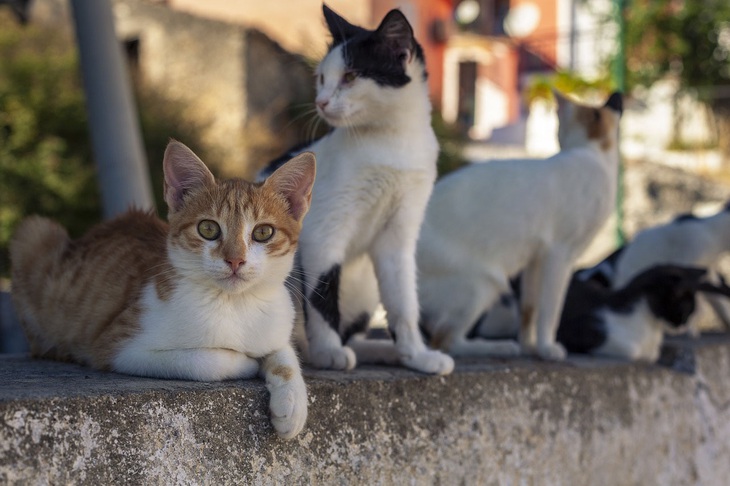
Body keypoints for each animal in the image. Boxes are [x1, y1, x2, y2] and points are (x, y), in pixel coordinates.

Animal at [10, 140, 312, 440]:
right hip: (32, 233)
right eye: (208, 228)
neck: (235, 304)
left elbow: (284, 352)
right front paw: (248, 362)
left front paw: (293, 404)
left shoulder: (276, 324)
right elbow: (205, 361)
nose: (235, 260)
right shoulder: (120, 348)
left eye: (263, 233)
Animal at [258, 4, 452, 376]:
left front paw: (416, 354)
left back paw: (385, 351)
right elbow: (321, 291)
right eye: (322, 77)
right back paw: (313, 351)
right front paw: (329, 351)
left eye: (350, 76)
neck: (391, 142)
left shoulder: (399, 234)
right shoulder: (323, 230)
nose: (320, 101)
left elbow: (404, 302)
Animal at [416, 93, 620, 360]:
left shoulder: (535, 260)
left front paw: (530, 347)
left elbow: (529, 310)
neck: (592, 153)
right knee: (444, 342)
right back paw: (498, 347)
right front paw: (547, 348)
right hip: (484, 285)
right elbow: (550, 310)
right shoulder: (559, 255)